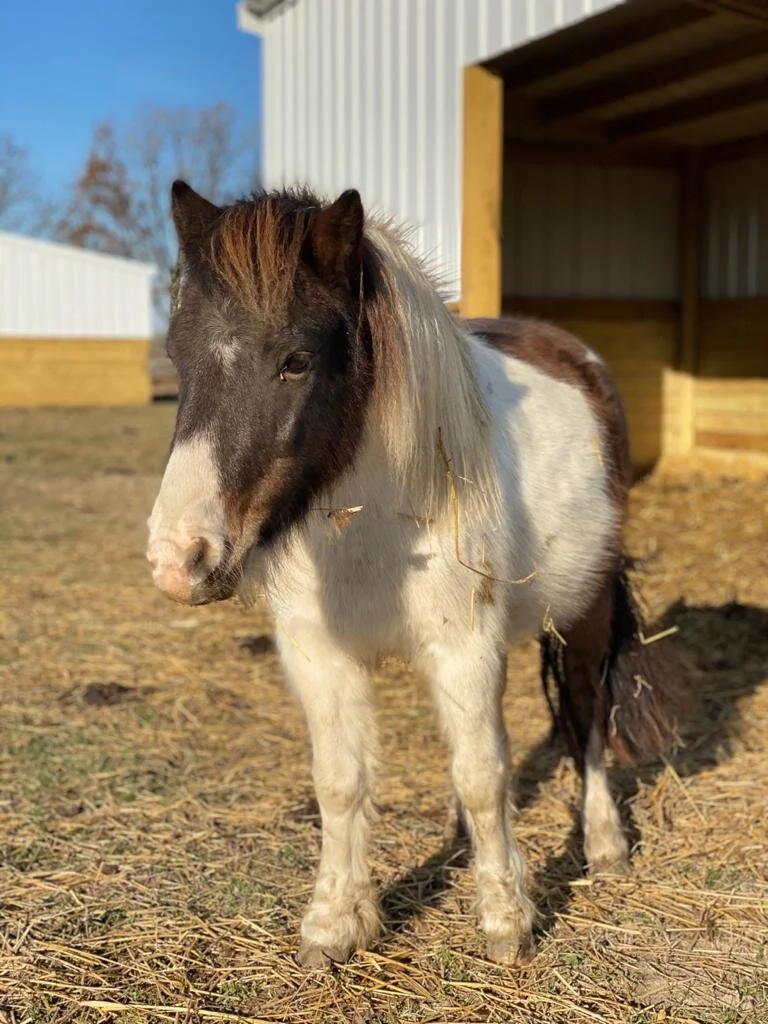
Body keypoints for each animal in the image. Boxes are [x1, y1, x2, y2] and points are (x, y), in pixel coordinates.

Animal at [147, 180, 688, 968]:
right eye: (178, 355)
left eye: (296, 360)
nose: (176, 559)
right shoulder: (321, 657)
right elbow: (341, 782)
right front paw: (333, 925)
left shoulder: (466, 648)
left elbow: (483, 774)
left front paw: (505, 922)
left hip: (583, 615)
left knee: (586, 718)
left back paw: (605, 845)